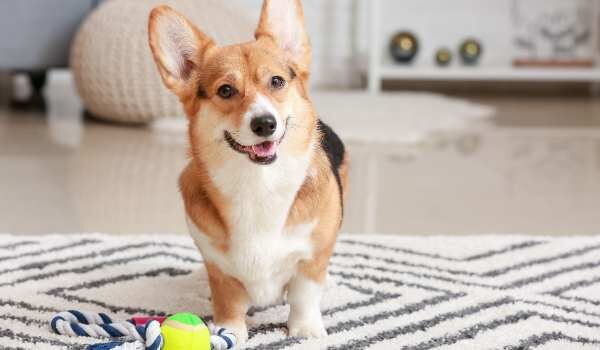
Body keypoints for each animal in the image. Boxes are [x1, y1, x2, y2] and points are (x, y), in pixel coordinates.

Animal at [148, 0, 350, 344]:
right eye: (226, 90)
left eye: (277, 82)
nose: (265, 124)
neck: (258, 185)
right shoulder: (220, 268)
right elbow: (228, 300)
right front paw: (229, 332)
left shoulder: (311, 258)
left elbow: (304, 294)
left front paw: (306, 330)